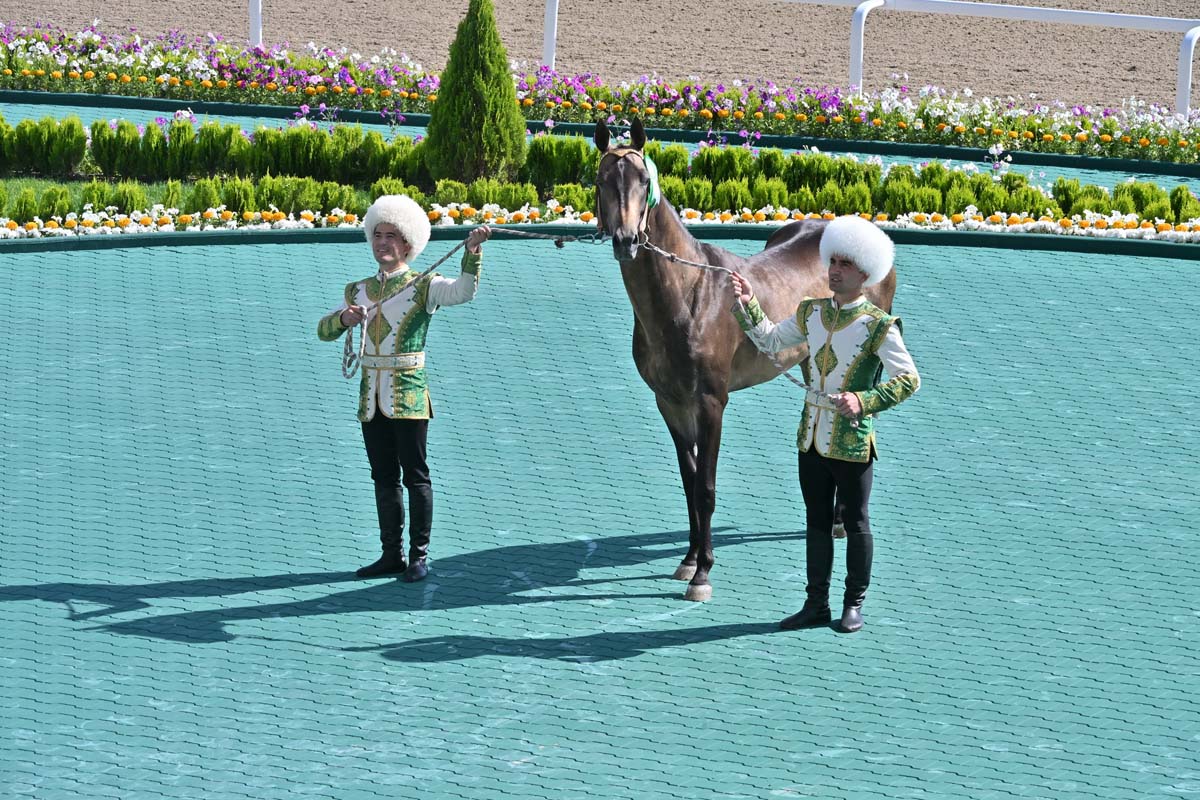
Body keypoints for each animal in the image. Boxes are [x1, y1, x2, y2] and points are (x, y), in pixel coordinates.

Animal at [592, 118, 897, 601]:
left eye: (643, 180)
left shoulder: (711, 403)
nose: (626, 240)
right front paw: (689, 559)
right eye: (602, 180)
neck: (689, 296)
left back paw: (836, 522)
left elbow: (706, 487)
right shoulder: (670, 403)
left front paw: (703, 574)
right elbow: (688, 481)